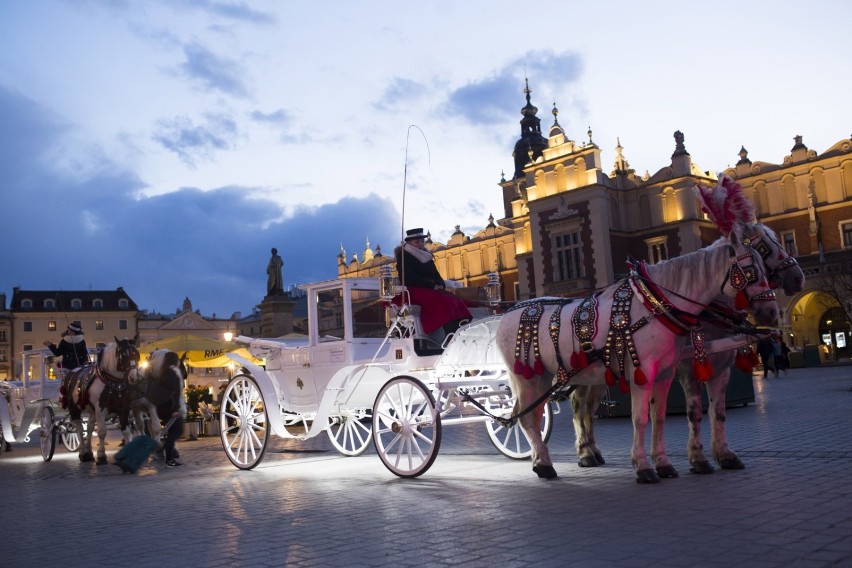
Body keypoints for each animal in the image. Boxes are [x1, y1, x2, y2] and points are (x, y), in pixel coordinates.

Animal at [492, 233, 780, 482]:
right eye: (752, 271)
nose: (772, 312)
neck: (656, 304)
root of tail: (507, 313)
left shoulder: (666, 374)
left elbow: (661, 417)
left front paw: (664, 464)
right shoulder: (645, 375)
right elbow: (641, 418)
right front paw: (644, 467)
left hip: (560, 377)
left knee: (549, 413)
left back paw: (556, 458)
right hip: (528, 377)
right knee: (526, 417)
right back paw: (545, 464)